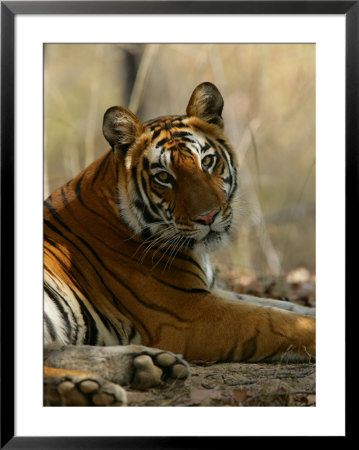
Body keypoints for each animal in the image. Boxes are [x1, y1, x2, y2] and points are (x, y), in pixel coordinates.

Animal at [44, 82, 316, 406]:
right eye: (163, 177)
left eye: (207, 162)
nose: (207, 216)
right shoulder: (189, 312)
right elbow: (277, 321)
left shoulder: (210, 291)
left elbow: (287, 306)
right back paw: (86, 387)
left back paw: (149, 365)